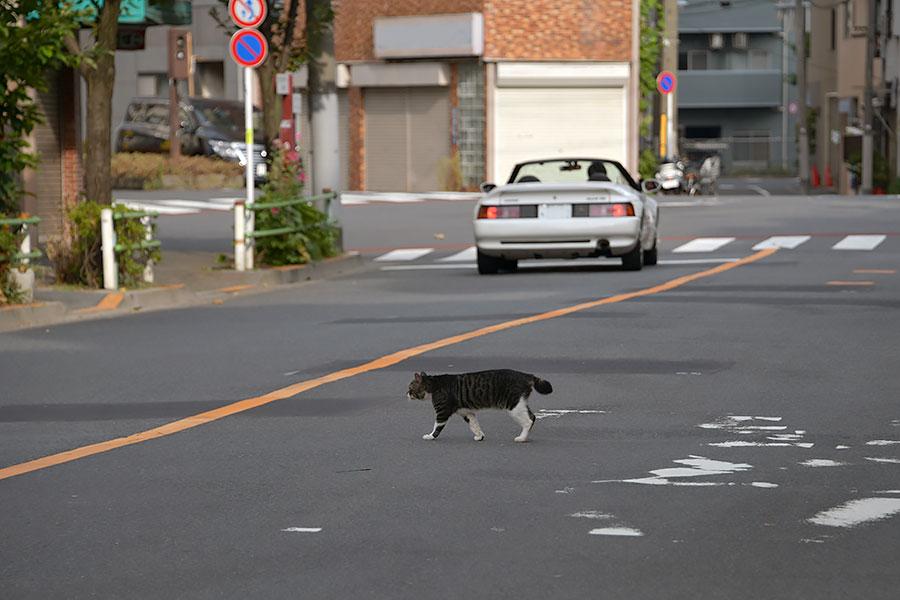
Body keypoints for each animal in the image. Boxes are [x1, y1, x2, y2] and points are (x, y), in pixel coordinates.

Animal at [406, 368, 548, 442]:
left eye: (410, 388)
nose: (406, 393)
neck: (434, 385)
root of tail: (525, 375)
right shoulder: (466, 412)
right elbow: (474, 425)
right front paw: (480, 436)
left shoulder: (442, 412)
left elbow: (437, 426)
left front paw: (430, 436)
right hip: (520, 403)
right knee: (532, 416)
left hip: (514, 405)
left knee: (528, 421)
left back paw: (522, 438)